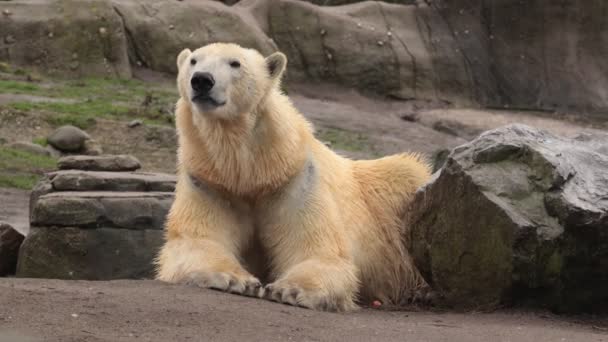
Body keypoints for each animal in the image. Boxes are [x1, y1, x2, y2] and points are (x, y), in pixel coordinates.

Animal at [157, 43, 432, 312]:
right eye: (193, 60)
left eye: (235, 63)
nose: (202, 80)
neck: (253, 172)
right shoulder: (211, 182)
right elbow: (197, 239)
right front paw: (236, 279)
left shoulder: (295, 179)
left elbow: (317, 250)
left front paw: (288, 290)